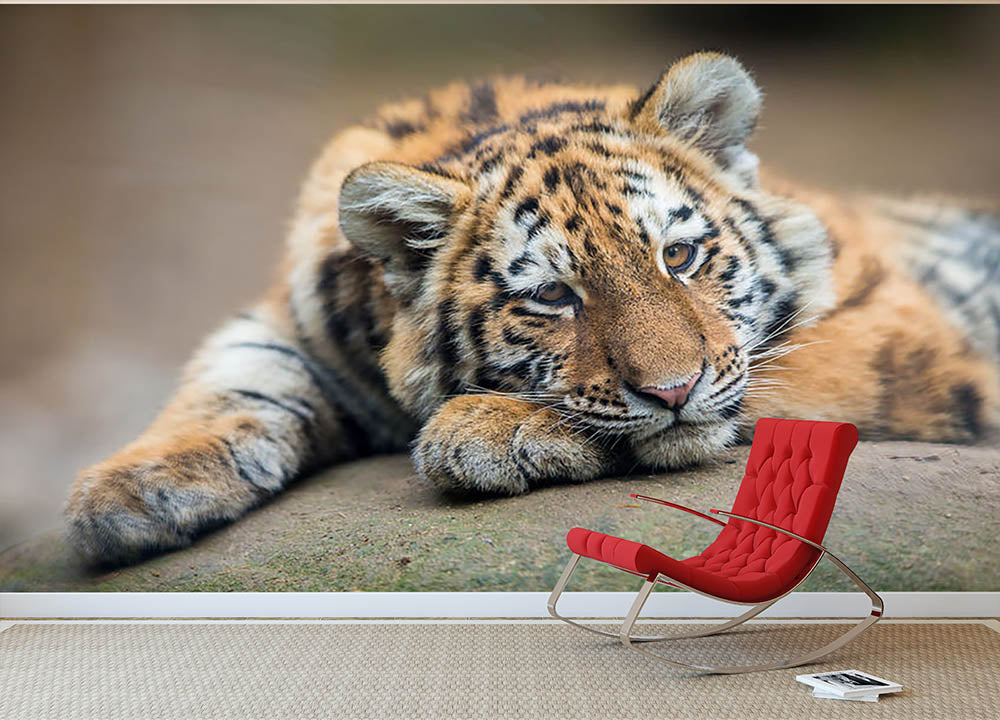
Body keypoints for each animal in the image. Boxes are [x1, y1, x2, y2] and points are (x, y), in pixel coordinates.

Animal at [65, 52, 1000, 566]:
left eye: (680, 256)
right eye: (553, 296)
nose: (674, 391)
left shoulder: (898, 327)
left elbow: (775, 376)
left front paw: (489, 429)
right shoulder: (295, 325)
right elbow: (237, 376)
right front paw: (128, 491)